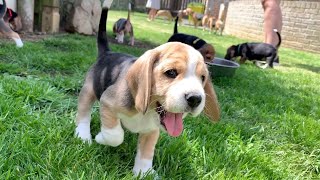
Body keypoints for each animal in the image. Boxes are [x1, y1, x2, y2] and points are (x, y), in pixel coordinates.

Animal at [75, 6, 220, 176]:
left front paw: (144, 173)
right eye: (171, 72)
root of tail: (107, 53)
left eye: (202, 78)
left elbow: (146, 153)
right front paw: (100, 138)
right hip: (88, 92)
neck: (148, 111)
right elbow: (115, 136)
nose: (196, 98)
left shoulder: (151, 130)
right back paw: (83, 135)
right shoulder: (107, 102)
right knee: (84, 114)